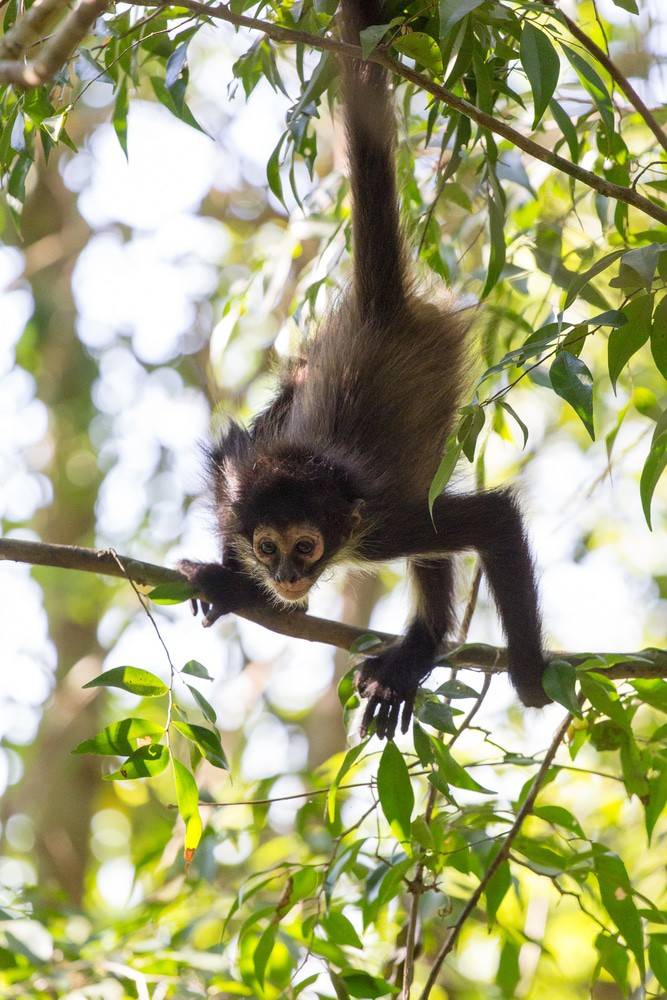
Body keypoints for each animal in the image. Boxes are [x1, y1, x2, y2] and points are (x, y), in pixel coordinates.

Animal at [178, 0, 552, 741]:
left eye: (304, 546)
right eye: (266, 546)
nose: (285, 578)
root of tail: (381, 309)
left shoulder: (382, 525)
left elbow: (492, 518)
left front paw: (528, 677)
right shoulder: (238, 480)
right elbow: (229, 457)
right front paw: (232, 579)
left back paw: (420, 648)